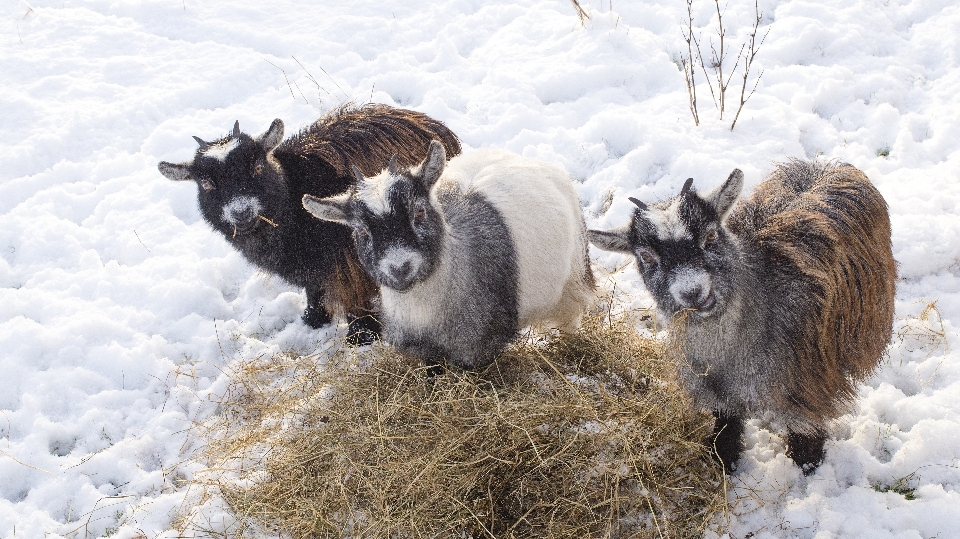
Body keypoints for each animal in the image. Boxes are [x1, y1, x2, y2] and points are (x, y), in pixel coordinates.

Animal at [157, 103, 462, 344]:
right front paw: (314, 318)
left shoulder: (350, 258)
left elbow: (357, 293)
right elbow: (314, 288)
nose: (241, 212)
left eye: (257, 167)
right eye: (206, 184)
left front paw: (362, 335)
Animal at [304, 139, 596, 370]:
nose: (399, 268)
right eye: (362, 231)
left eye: (419, 212)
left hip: (574, 276)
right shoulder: (423, 349)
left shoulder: (477, 347)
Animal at [588, 160, 896, 472]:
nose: (692, 292)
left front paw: (808, 466)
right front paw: (724, 459)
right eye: (646, 257)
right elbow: (726, 424)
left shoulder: (807, 380)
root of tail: (823, 164)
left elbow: (807, 427)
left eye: (711, 235)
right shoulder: (716, 388)